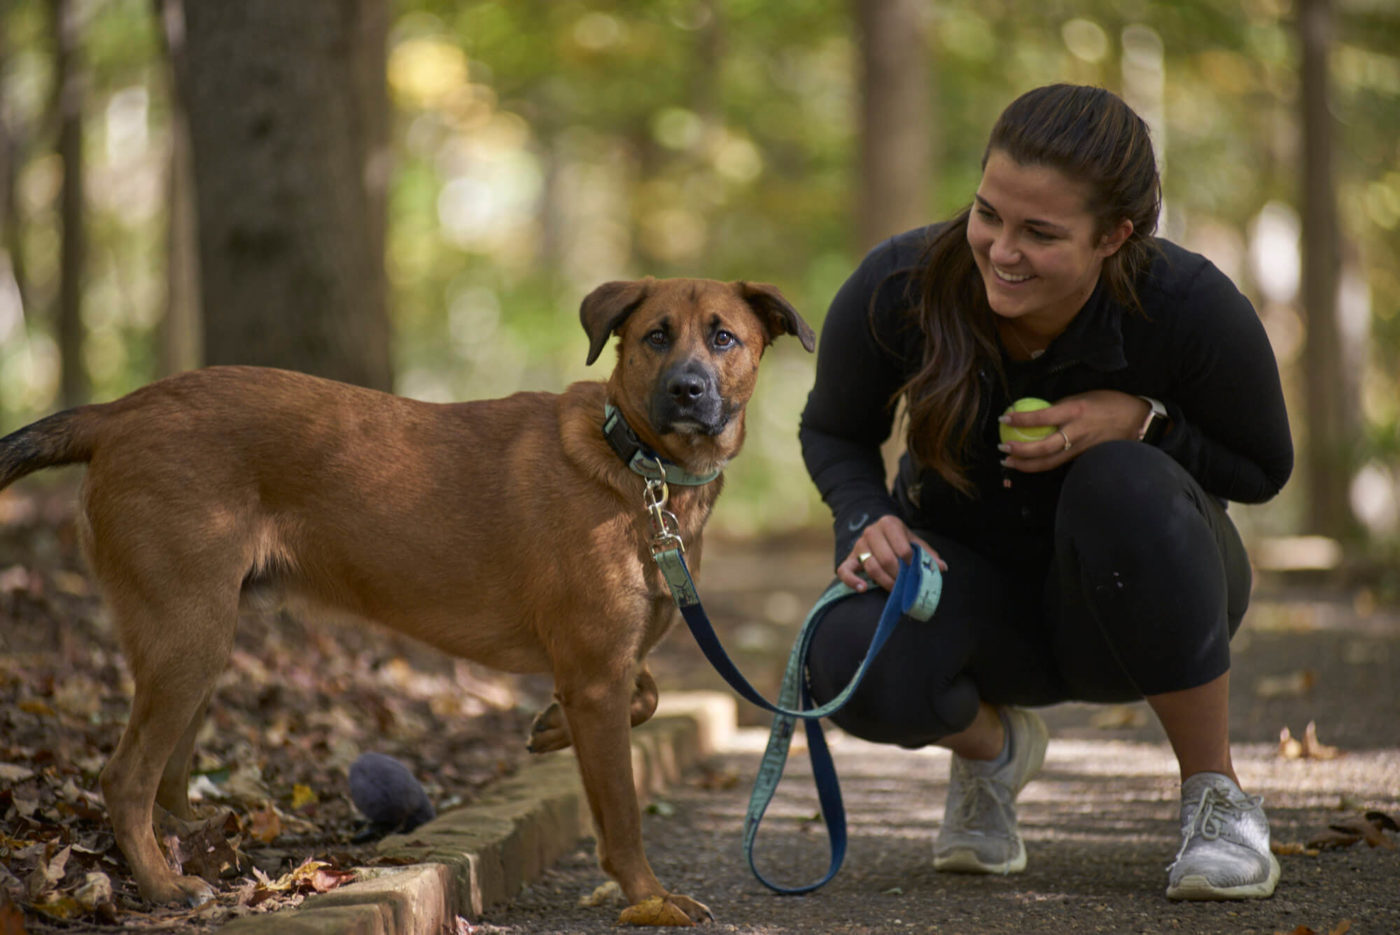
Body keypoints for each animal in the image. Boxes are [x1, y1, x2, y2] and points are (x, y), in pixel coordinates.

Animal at [0, 275, 817, 918]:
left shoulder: (604, 670)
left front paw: (548, 728)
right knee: (125, 776)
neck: (636, 463)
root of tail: (118, 410)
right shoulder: (595, 673)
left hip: (198, 639)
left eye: (723, 337)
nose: (687, 389)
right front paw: (649, 897)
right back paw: (164, 886)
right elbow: (620, 813)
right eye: (655, 337)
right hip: (188, 636)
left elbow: (646, 693)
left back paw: (193, 852)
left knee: (166, 778)